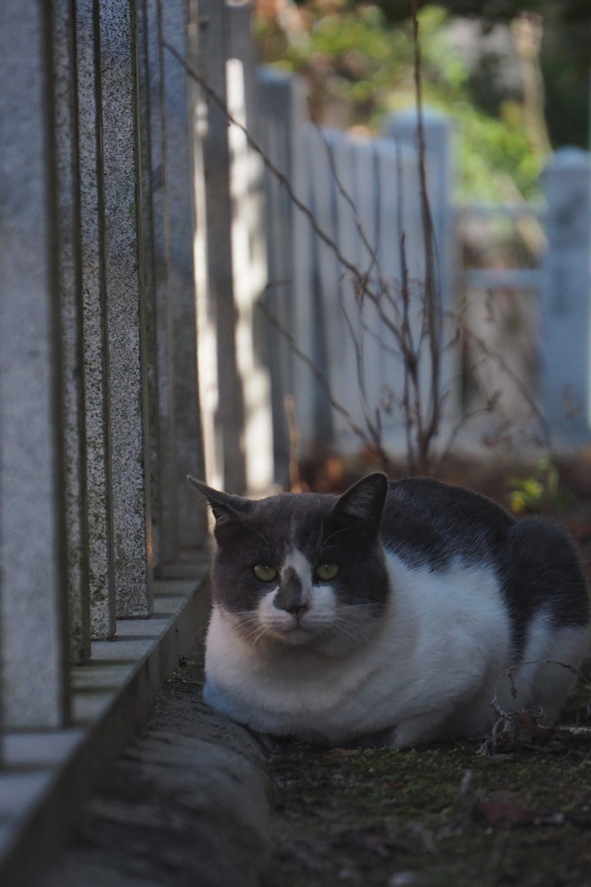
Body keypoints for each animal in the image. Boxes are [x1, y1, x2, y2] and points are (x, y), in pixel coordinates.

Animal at [191, 472, 591, 748]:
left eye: (328, 569)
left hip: (550, 547)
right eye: (263, 571)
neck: (306, 687)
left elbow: (408, 727)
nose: (295, 605)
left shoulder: (469, 668)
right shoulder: (223, 697)